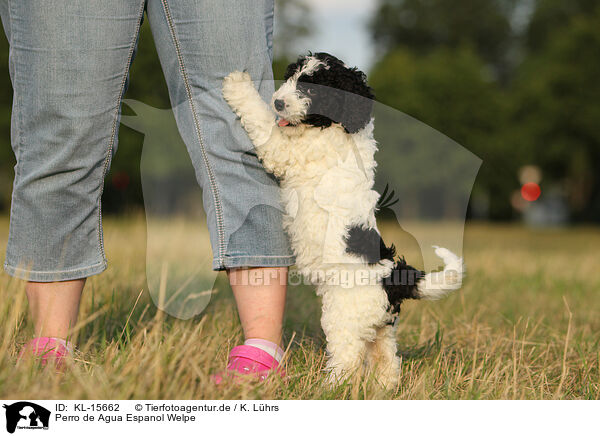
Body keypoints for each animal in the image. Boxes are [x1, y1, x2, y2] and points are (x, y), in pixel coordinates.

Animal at [223, 52, 462, 388]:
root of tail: (392, 276)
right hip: (381, 325)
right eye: (293, 76)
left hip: (343, 318)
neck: (333, 127)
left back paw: (330, 387)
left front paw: (237, 84)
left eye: (313, 89)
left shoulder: (284, 149)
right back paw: (383, 389)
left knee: (348, 359)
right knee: (387, 358)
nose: (279, 102)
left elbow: (262, 120)